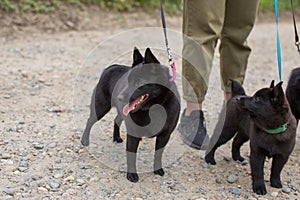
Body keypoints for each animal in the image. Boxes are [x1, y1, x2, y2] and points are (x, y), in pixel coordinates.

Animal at [80, 47, 180, 183]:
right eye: (127, 81)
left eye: (138, 82)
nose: (119, 97)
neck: (154, 108)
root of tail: (111, 67)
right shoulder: (133, 135)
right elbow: (131, 156)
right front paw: (132, 174)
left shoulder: (164, 136)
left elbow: (158, 155)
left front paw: (157, 169)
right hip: (100, 108)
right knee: (90, 121)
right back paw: (85, 140)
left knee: (116, 120)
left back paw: (116, 137)